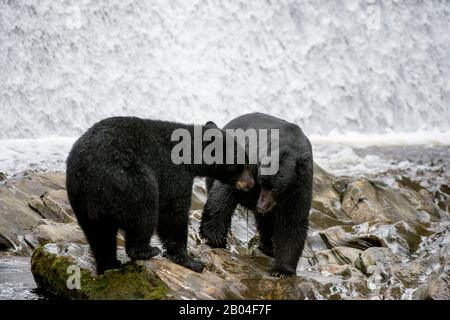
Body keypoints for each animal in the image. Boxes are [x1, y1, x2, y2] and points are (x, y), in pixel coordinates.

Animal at [66, 117, 253, 276]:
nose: (251, 184)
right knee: (144, 213)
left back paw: (110, 265)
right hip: (129, 180)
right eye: (241, 164)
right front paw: (190, 261)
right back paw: (145, 251)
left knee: (100, 236)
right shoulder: (173, 172)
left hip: (82, 201)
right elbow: (173, 211)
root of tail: (89, 176)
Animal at [200, 112, 312, 278]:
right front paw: (214, 237)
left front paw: (282, 270)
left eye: (274, 188)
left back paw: (268, 246)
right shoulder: (251, 164)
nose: (260, 205)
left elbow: (293, 222)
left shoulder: (301, 187)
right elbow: (224, 194)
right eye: (262, 182)